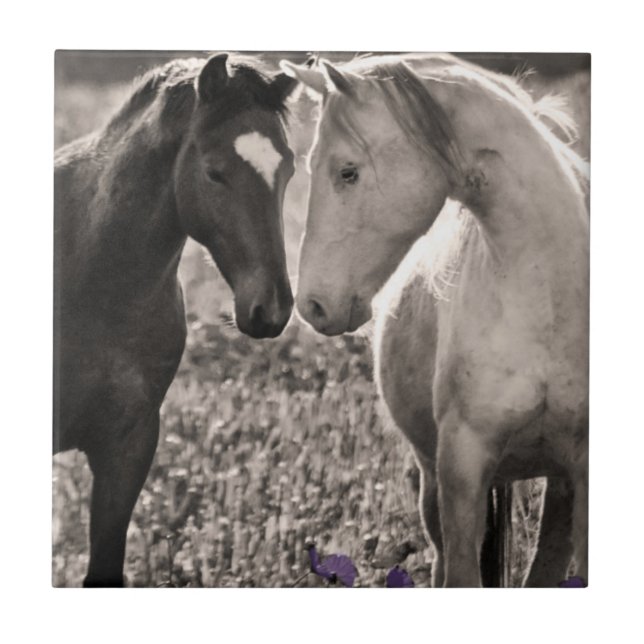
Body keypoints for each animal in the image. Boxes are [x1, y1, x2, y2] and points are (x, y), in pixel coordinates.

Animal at [282, 53, 589, 587]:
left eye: (347, 172)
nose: (313, 305)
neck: (548, 298)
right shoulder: (461, 466)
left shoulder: (581, 474)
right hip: (432, 481)